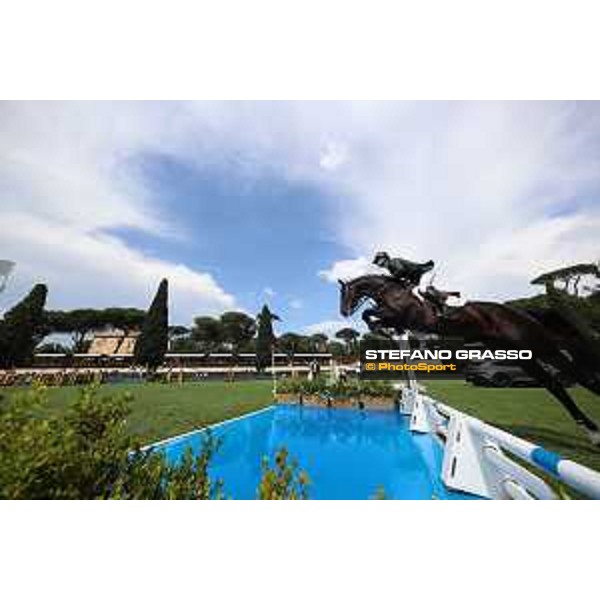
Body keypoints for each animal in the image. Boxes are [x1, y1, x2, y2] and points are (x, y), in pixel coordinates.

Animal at [340, 274, 600, 442]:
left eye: (345, 293)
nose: (343, 312)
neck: (390, 292)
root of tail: (522, 313)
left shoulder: (403, 316)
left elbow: (370, 313)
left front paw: (380, 329)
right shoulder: (396, 318)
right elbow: (370, 315)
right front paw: (381, 330)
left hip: (540, 345)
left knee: (578, 375)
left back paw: (593, 429)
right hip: (522, 355)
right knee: (554, 384)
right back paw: (591, 431)